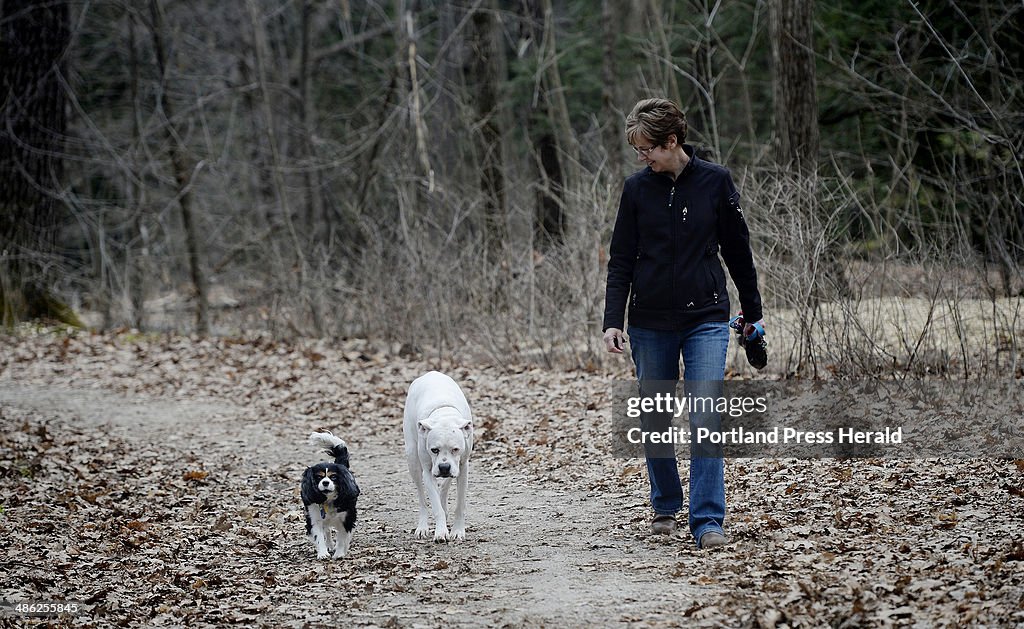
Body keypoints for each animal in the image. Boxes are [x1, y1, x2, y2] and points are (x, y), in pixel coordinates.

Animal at [403, 372, 475, 544]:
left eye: (456, 449)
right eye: (434, 450)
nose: (444, 467)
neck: (444, 417)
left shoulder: (462, 467)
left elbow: (460, 504)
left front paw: (458, 531)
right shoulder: (428, 471)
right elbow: (435, 506)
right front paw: (441, 531)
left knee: (445, 485)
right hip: (412, 459)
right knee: (422, 498)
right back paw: (422, 527)